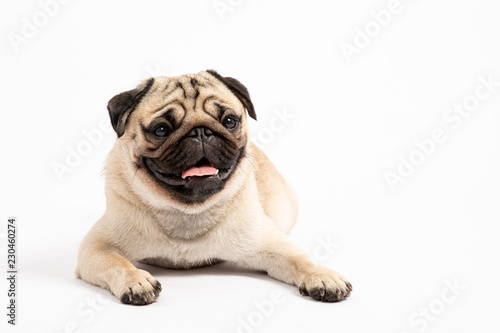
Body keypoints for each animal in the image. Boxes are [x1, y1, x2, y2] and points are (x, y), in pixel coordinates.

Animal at [77, 70, 352, 304]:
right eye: (161, 129)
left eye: (229, 121)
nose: (200, 132)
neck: (186, 213)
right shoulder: (96, 247)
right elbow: (116, 262)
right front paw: (135, 280)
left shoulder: (270, 244)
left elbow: (299, 259)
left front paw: (322, 277)